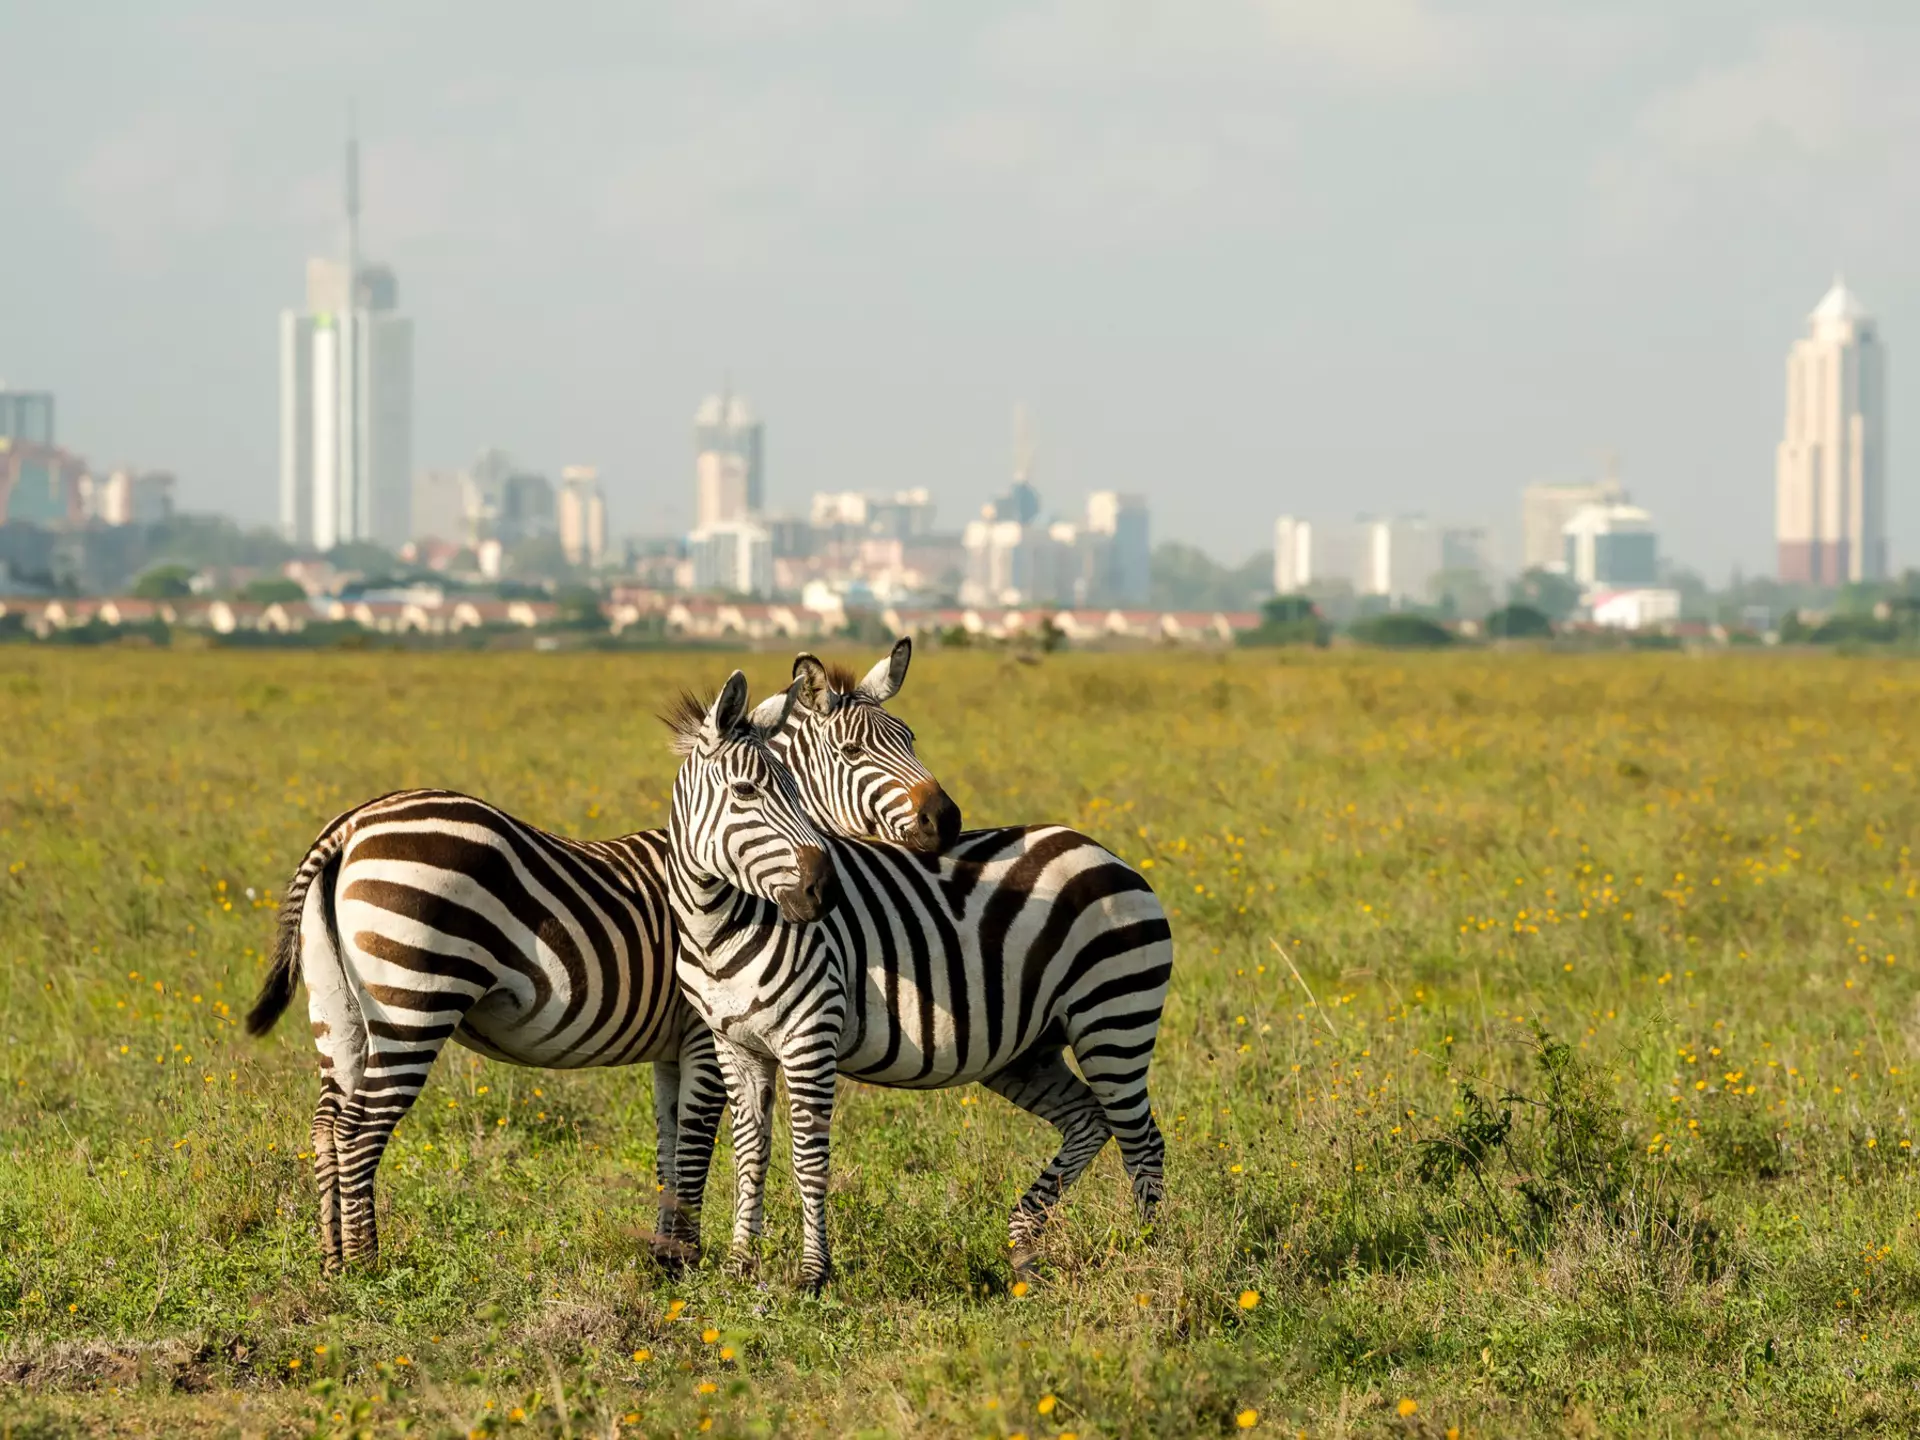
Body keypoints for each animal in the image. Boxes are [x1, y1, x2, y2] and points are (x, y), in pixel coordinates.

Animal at [243, 647, 955, 1274]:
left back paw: (333, 1260)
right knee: (360, 1129)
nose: (946, 822)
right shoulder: (704, 1034)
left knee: (326, 1123)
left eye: (911, 737)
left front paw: (667, 1255)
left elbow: (670, 1145)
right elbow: (696, 1143)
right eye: (854, 752)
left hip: (338, 1009)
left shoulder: (673, 1047)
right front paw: (686, 1258)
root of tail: (350, 826)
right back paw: (368, 1266)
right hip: (414, 1002)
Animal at [667, 683, 1173, 1292]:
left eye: (795, 790)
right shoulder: (735, 1046)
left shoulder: (810, 1038)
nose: (825, 890)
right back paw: (1024, 1245)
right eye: (745, 790)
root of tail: (1104, 851)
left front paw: (813, 1274)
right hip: (1028, 1051)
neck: (717, 928)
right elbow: (749, 1154)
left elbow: (808, 1157)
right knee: (1089, 1120)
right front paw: (741, 1266)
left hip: (1113, 1018)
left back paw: (1147, 1257)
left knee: (1142, 1142)